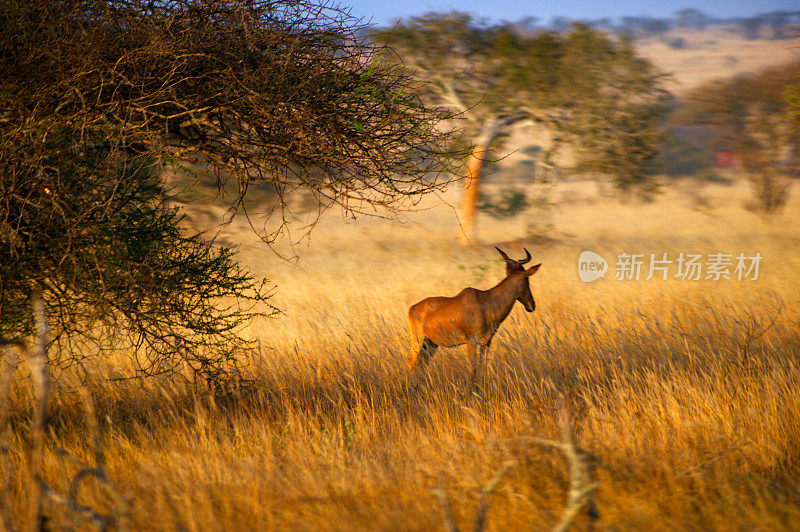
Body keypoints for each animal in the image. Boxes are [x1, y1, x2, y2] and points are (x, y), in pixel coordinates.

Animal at [410, 247, 540, 372]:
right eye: (526, 278)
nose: (531, 305)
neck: (485, 301)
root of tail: (412, 308)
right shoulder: (471, 342)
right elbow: (473, 370)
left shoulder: (486, 343)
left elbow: (482, 369)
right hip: (418, 341)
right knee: (411, 366)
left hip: (431, 344)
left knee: (422, 366)